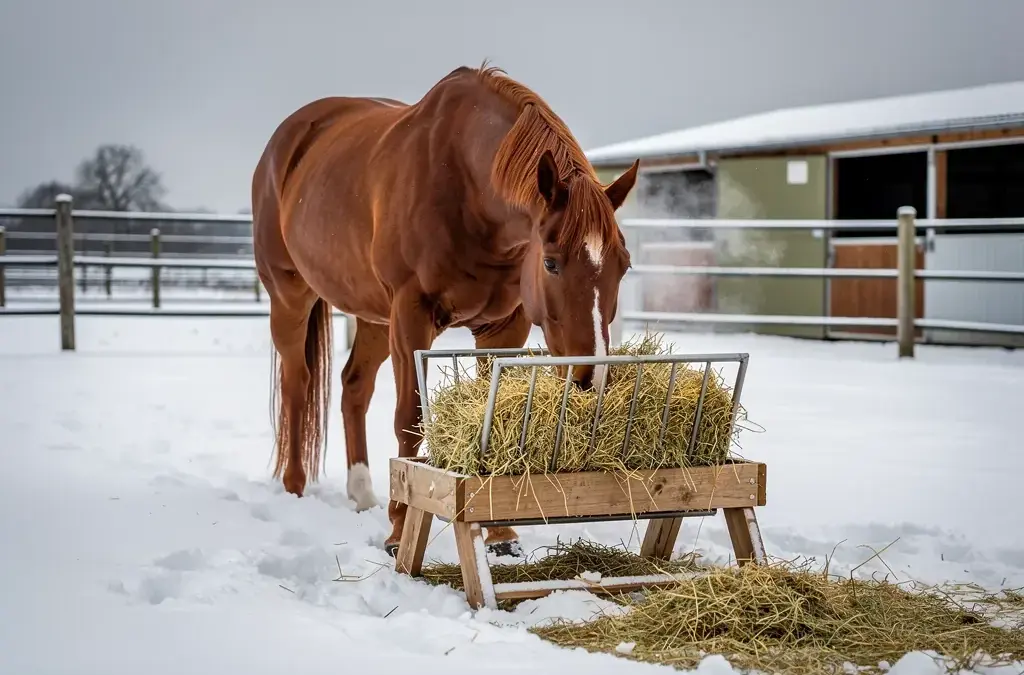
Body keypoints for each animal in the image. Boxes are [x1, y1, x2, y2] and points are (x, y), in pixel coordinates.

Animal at [251, 63, 639, 557]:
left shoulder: (502, 327)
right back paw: (295, 487)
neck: (465, 185)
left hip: (374, 318)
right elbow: (409, 420)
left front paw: (500, 535)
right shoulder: (411, 316)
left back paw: (362, 493)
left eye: (624, 264)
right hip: (291, 297)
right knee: (297, 384)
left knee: (353, 386)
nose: (593, 378)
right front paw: (399, 531)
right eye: (551, 262)